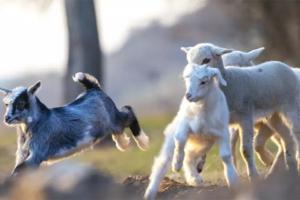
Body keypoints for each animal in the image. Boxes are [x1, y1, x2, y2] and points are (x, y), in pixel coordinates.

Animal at [144, 63, 238, 199]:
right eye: (188, 80)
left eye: (203, 82)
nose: (188, 95)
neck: (201, 110)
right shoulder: (184, 126)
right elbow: (180, 139)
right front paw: (176, 165)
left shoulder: (222, 132)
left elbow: (225, 156)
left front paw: (233, 180)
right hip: (174, 136)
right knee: (162, 163)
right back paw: (150, 192)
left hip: (204, 143)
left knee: (190, 155)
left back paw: (195, 179)